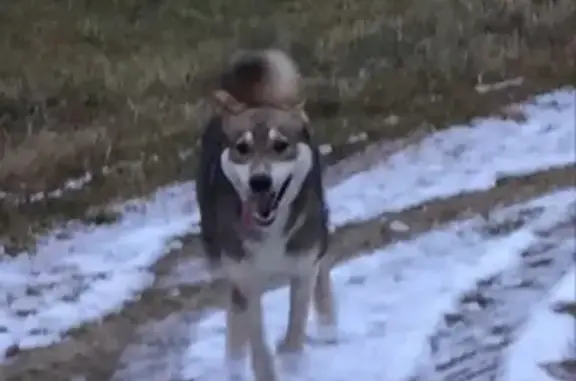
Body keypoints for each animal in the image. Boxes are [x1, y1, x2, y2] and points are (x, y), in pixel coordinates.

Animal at [197, 49, 338, 378]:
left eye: (280, 145)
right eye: (242, 147)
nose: (259, 181)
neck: (269, 231)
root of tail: (253, 97)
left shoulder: (303, 266)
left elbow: (296, 322)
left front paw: (290, 357)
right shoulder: (245, 279)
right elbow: (257, 342)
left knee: (324, 265)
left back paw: (328, 325)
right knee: (234, 310)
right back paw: (233, 361)